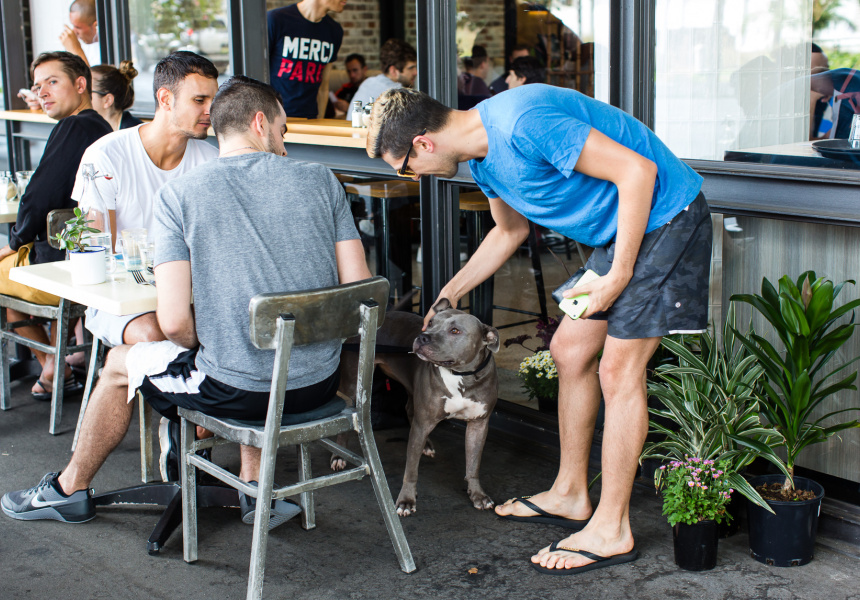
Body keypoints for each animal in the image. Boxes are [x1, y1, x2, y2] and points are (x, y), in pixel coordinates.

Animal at [338, 299, 500, 516]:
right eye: (430, 323)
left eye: (455, 330)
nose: (422, 337)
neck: (461, 376)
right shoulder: (422, 425)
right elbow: (411, 470)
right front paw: (406, 500)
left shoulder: (479, 425)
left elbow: (473, 464)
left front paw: (477, 494)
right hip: (351, 385)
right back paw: (338, 456)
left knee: (409, 409)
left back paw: (427, 445)